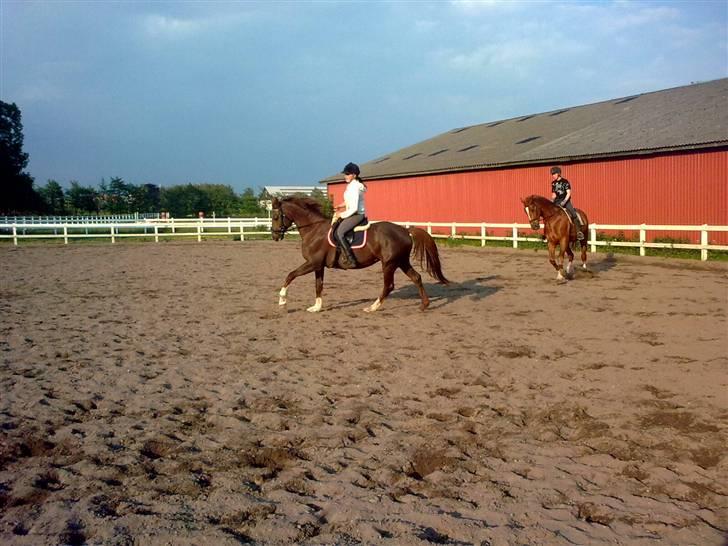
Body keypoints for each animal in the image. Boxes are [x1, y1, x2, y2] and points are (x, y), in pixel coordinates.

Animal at [270, 196, 446, 310]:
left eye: (276, 216)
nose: (274, 236)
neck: (314, 229)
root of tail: (405, 230)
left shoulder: (312, 263)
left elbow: (290, 275)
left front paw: (282, 300)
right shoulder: (318, 266)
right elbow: (318, 285)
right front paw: (316, 307)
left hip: (389, 264)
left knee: (389, 285)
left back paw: (372, 307)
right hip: (401, 261)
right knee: (416, 278)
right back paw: (424, 305)